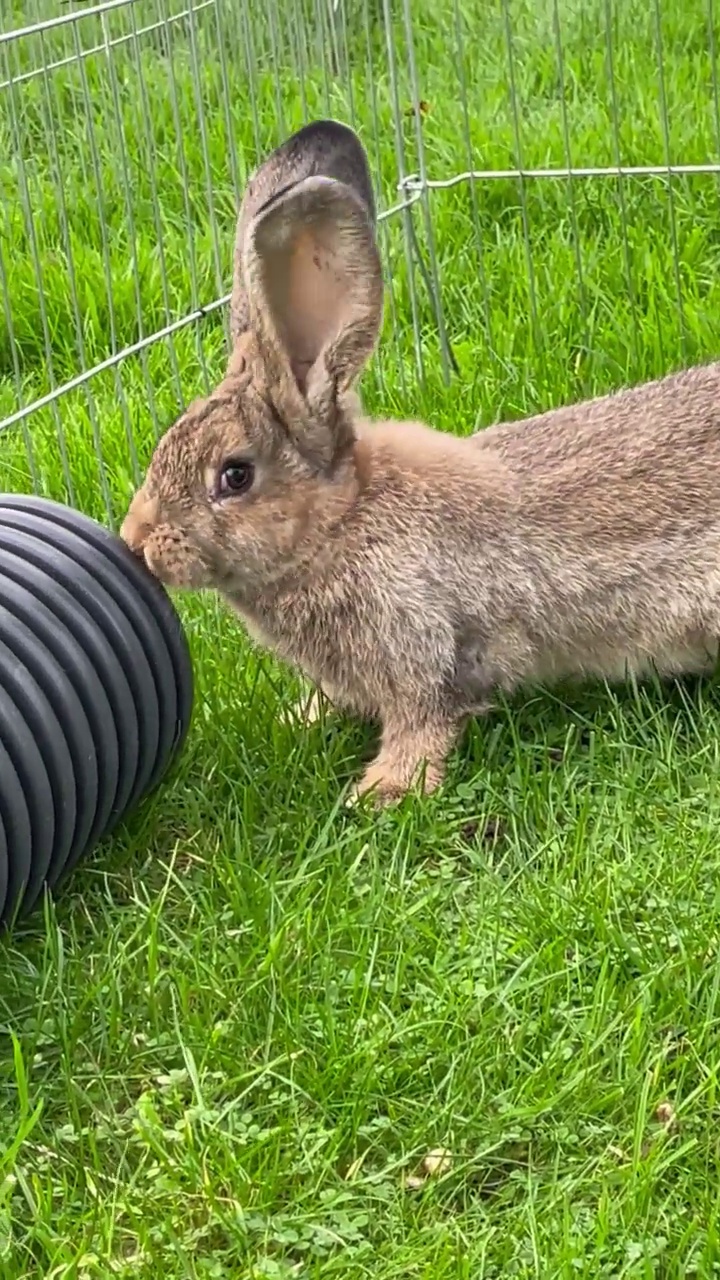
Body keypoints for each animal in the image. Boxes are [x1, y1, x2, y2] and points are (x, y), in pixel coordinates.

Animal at [119, 117, 720, 798]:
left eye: (235, 476)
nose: (136, 538)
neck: (340, 525)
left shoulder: (421, 648)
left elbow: (424, 720)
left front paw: (379, 794)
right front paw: (299, 719)